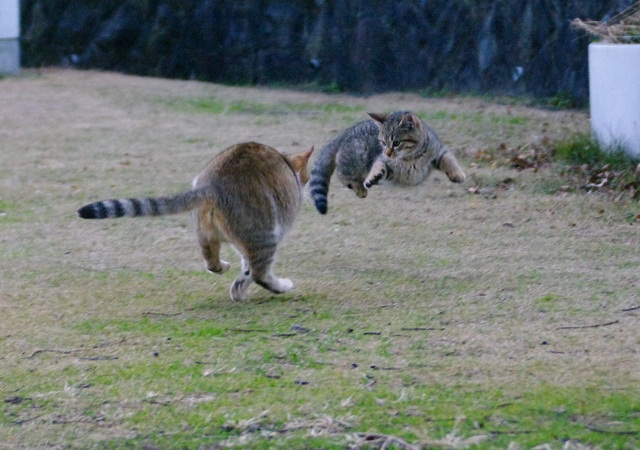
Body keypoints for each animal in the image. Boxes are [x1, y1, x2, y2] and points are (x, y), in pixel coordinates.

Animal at [78, 142, 316, 300]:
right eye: (308, 175)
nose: (307, 188)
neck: (286, 162)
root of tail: (213, 186)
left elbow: (245, 268)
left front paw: (239, 287)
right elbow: (251, 270)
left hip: (207, 232)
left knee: (212, 262)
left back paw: (229, 275)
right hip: (266, 232)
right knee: (260, 273)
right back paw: (281, 286)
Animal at [310, 110, 464, 213]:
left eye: (396, 142)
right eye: (383, 142)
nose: (387, 153)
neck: (410, 157)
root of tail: (344, 133)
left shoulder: (438, 150)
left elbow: (449, 160)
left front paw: (457, 174)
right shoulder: (382, 161)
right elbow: (378, 166)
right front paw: (372, 177)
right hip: (357, 158)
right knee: (343, 175)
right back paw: (361, 189)